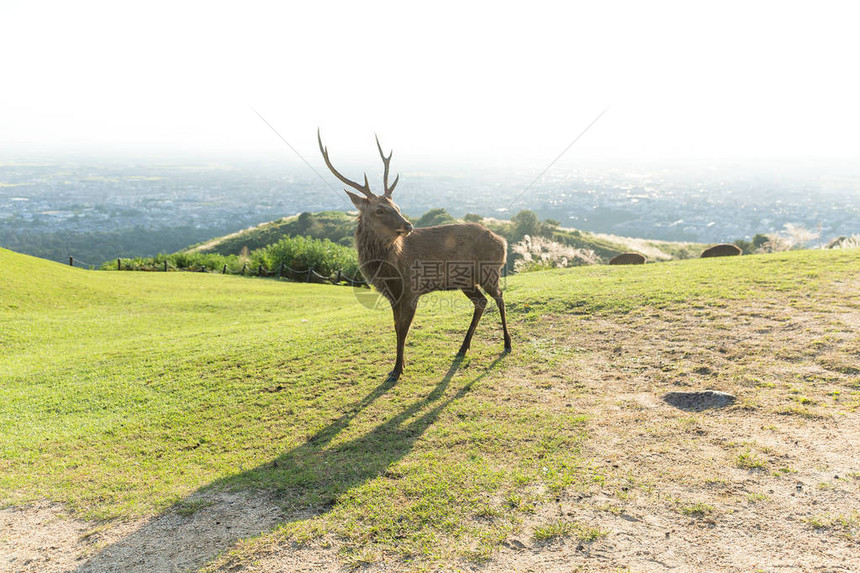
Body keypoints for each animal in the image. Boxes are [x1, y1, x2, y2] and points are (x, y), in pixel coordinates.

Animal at [320, 130, 510, 380]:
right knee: (481, 301)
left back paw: (507, 343)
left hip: (489, 271)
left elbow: (403, 329)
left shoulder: (412, 289)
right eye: (379, 210)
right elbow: (395, 327)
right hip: (465, 280)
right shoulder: (392, 295)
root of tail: (503, 241)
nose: (408, 225)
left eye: (397, 207)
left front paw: (397, 370)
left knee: (499, 297)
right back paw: (462, 348)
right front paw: (398, 366)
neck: (391, 268)